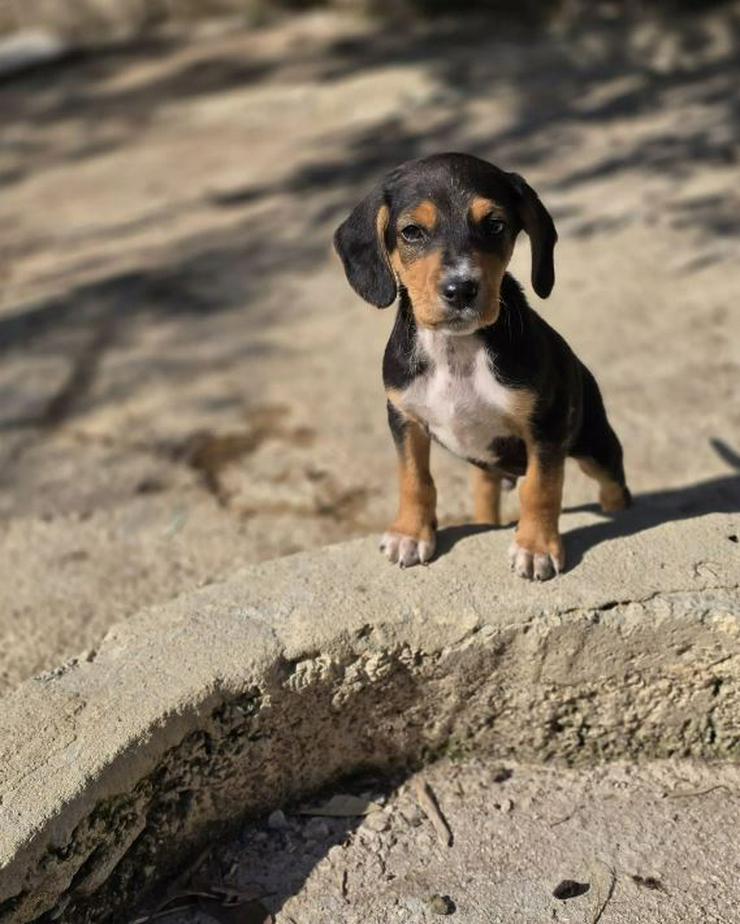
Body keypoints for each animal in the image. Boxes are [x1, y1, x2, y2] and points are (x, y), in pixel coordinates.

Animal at [336, 154, 632, 580]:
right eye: (411, 232)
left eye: (495, 225)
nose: (461, 289)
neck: (456, 349)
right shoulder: (404, 417)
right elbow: (414, 478)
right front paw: (409, 533)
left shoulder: (545, 427)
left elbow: (541, 488)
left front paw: (536, 547)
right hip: (488, 467)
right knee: (485, 492)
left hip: (595, 442)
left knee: (613, 485)